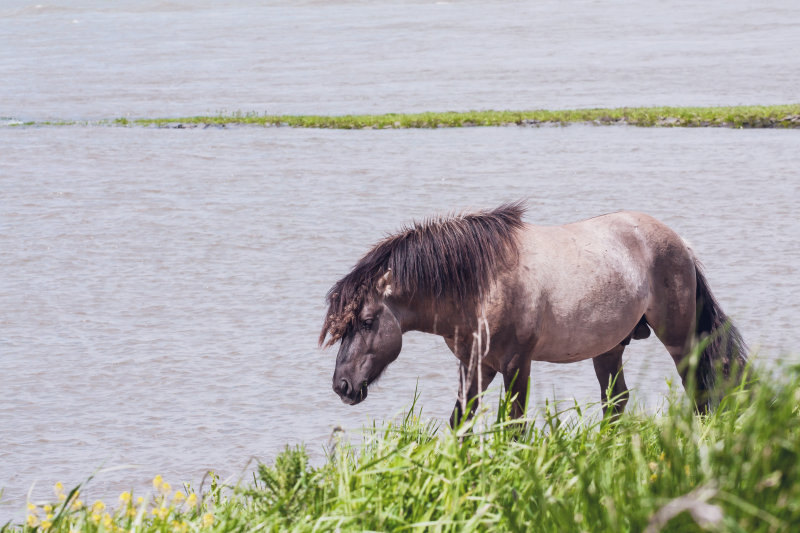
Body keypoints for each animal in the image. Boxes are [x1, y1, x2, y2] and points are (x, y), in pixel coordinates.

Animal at [320, 202, 752, 426]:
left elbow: (512, 424)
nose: (343, 385)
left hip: (680, 341)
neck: (482, 286)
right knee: (615, 401)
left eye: (367, 322)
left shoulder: (516, 363)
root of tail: (680, 243)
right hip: (609, 348)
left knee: (698, 392)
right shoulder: (474, 365)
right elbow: (462, 420)